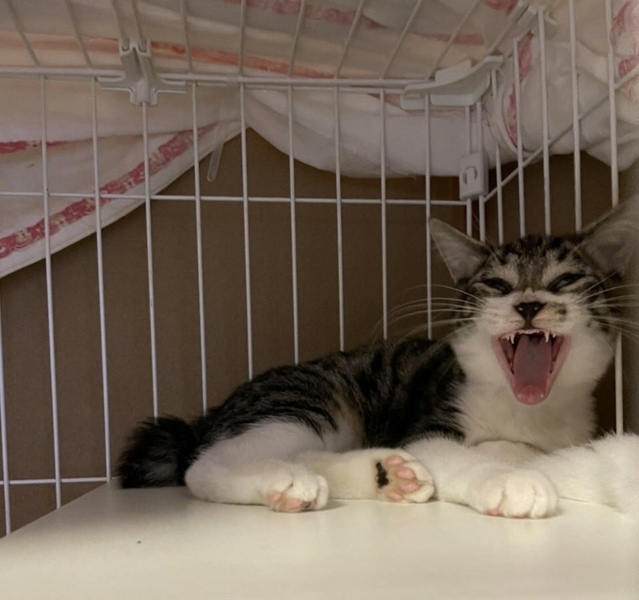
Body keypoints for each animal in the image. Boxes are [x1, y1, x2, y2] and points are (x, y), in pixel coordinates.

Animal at [117, 198, 639, 518]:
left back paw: (389, 475)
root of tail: (211, 416)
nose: (527, 305)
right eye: (496, 284)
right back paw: (287, 482)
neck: (526, 411)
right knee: (207, 464)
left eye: (565, 280)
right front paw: (511, 480)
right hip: (310, 399)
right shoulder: (428, 423)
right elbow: (460, 454)